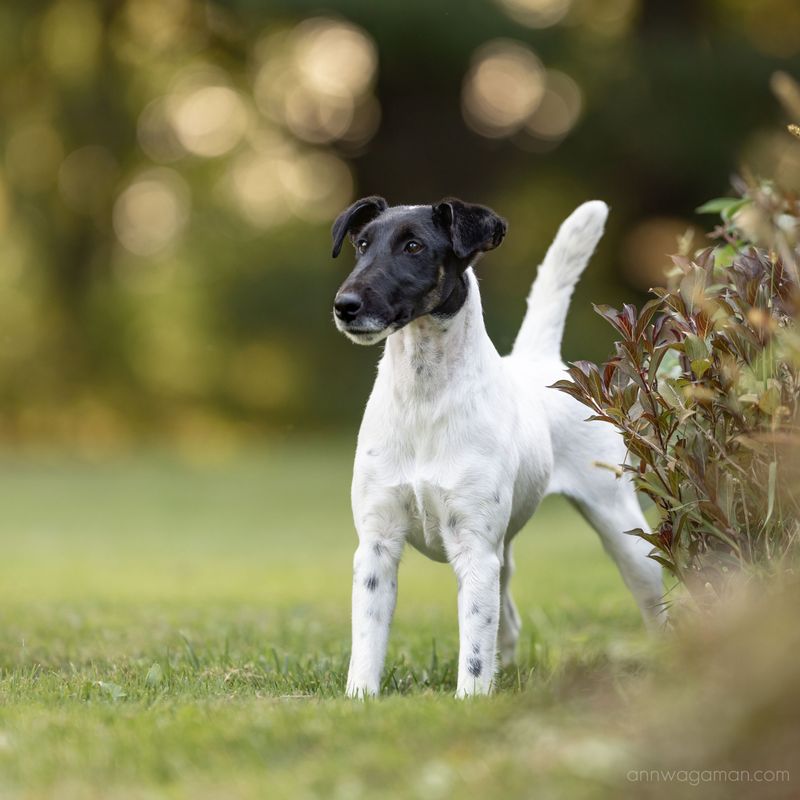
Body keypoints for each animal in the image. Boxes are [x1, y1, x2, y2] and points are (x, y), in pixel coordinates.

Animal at [328, 197, 664, 696]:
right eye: (362, 245)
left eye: (414, 246)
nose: (345, 305)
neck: (425, 402)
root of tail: (539, 361)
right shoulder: (376, 544)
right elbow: (368, 638)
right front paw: (360, 697)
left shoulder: (475, 549)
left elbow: (474, 645)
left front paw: (469, 699)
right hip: (503, 557)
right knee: (507, 624)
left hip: (623, 533)